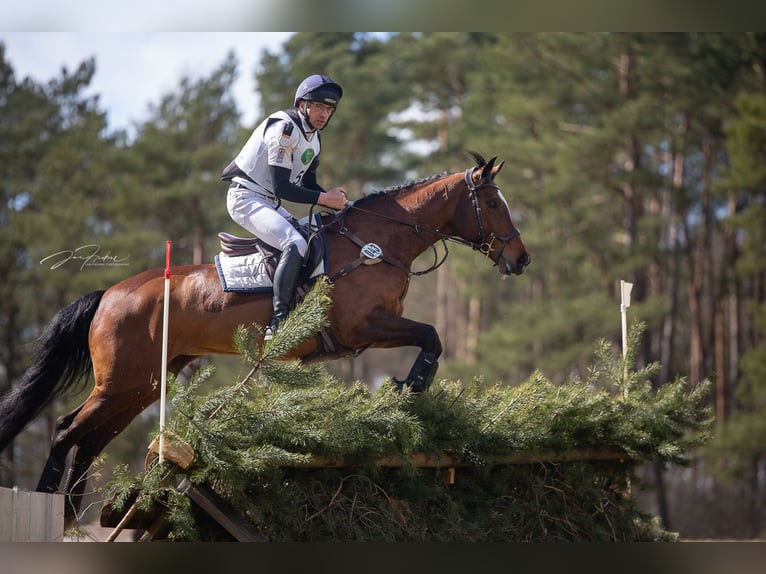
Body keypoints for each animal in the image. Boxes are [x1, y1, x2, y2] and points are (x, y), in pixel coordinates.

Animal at [0, 151, 532, 524]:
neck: (375, 244)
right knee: (66, 430)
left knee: (90, 440)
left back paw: (72, 518)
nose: (522, 259)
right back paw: (50, 507)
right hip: (121, 382)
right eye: (491, 203)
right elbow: (432, 335)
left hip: (143, 385)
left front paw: (408, 389)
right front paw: (411, 386)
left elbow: (430, 337)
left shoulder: (369, 332)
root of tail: (110, 293)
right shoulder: (361, 326)